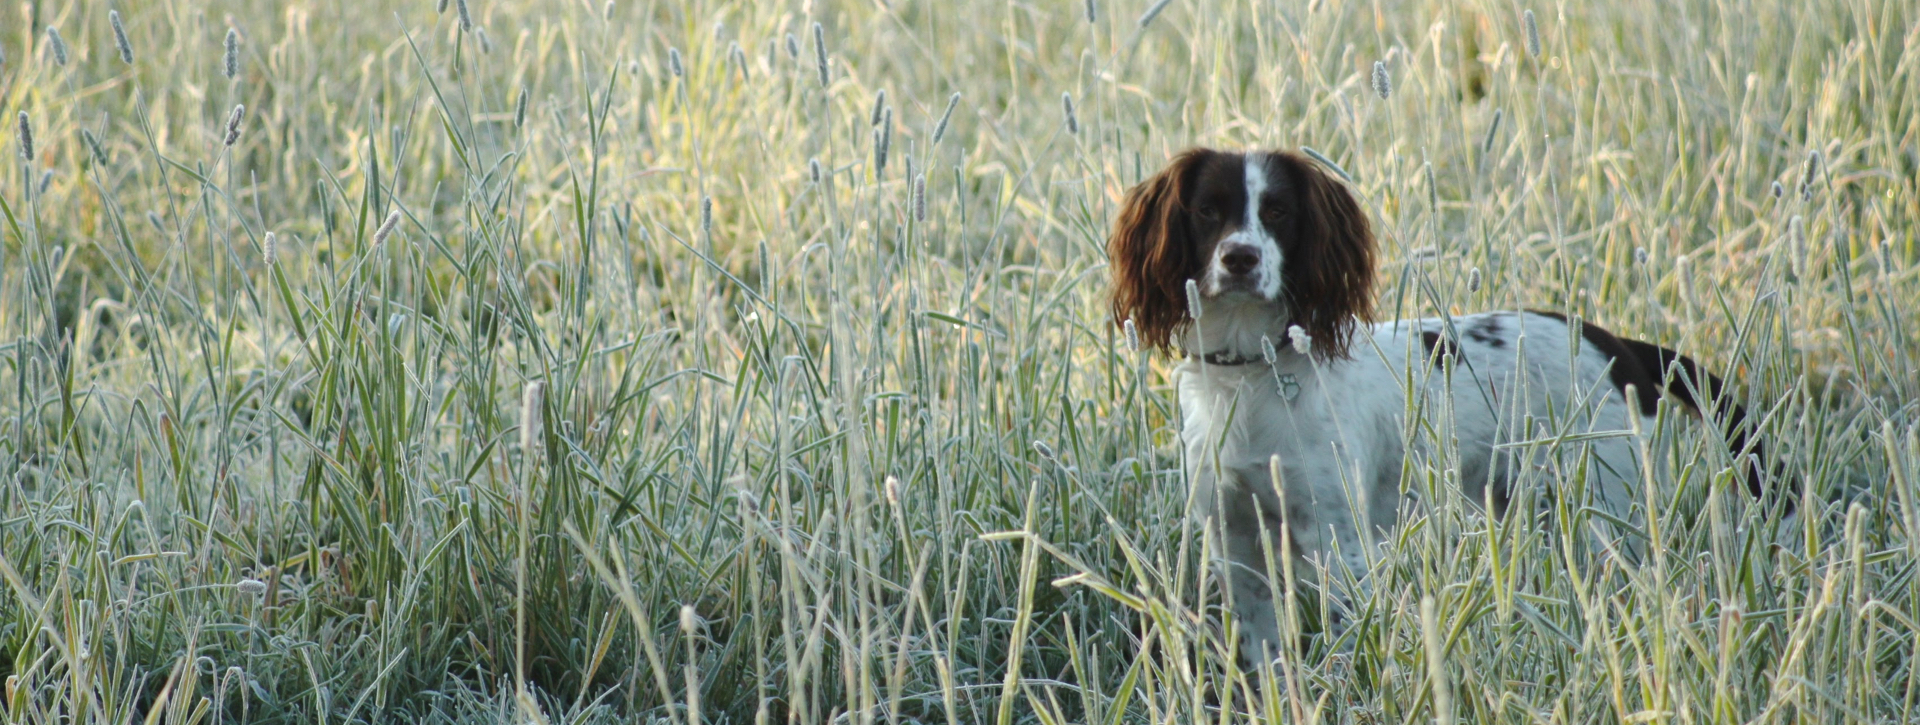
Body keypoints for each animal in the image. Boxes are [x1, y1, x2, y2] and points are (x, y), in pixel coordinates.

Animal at [1105, 145, 1774, 663]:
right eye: (1207, 210)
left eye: (1277, 211)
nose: (1239, 258)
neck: (1252, 375)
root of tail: (1617, 345)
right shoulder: (1234, 542)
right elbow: (1263, 653)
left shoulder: (1336, 540)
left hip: (1607, 514)